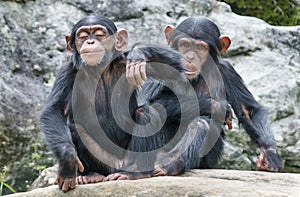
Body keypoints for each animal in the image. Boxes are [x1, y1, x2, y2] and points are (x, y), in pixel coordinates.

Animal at [105, 16, 284, 180]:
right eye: (185, 45)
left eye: (199, 48)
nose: (190, 57)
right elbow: (145, 100)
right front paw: (216, 106)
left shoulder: (228, 71)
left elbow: (249, 111)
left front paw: (269, 155)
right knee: (148, 111)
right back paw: (135, 170)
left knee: (200, 124)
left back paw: (171, 165)